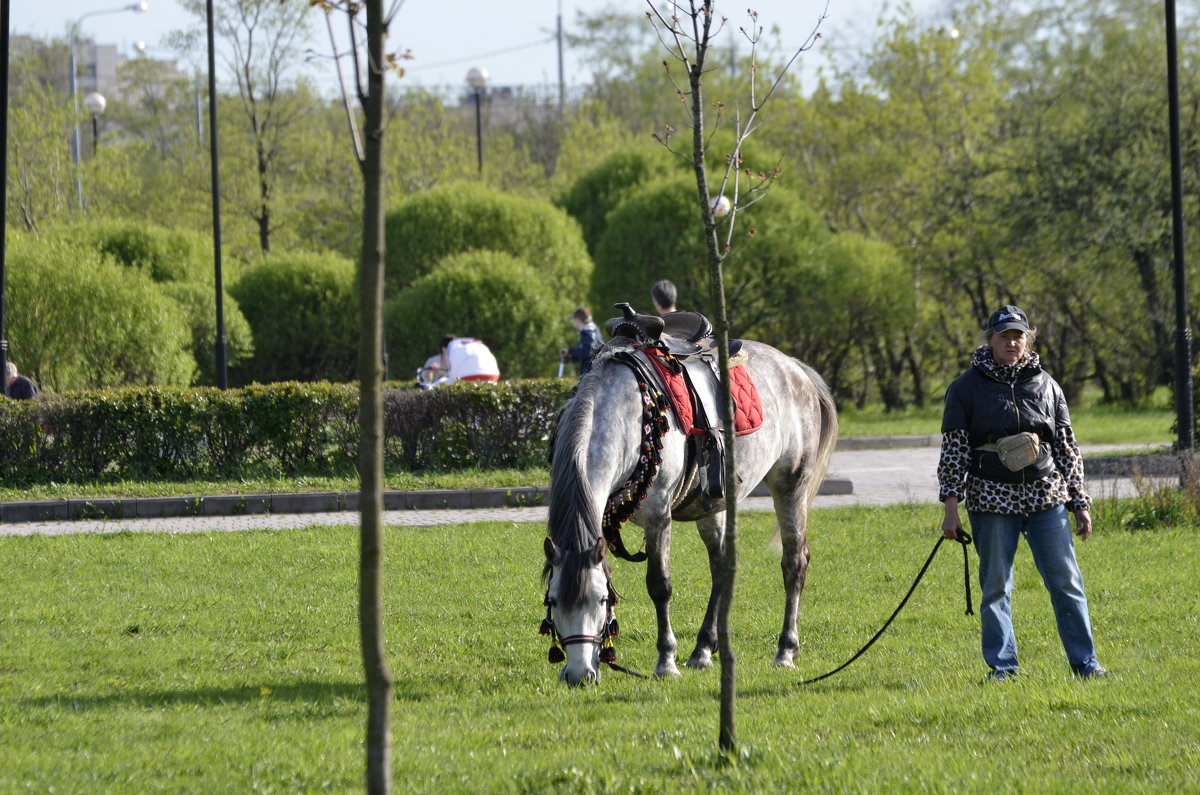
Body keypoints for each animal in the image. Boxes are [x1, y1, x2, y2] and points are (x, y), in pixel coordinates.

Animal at [542, 338, 835, 686]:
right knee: (722, 566)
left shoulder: (658, 516)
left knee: (794, 563)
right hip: (715, 506)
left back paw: (786, 650)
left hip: (791, 486)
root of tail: (795, 367)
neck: (627, 416)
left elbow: (659, 586)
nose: (578, 675)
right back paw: (703, 649)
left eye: (600, 600)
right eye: (552, 600)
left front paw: (666, 661)